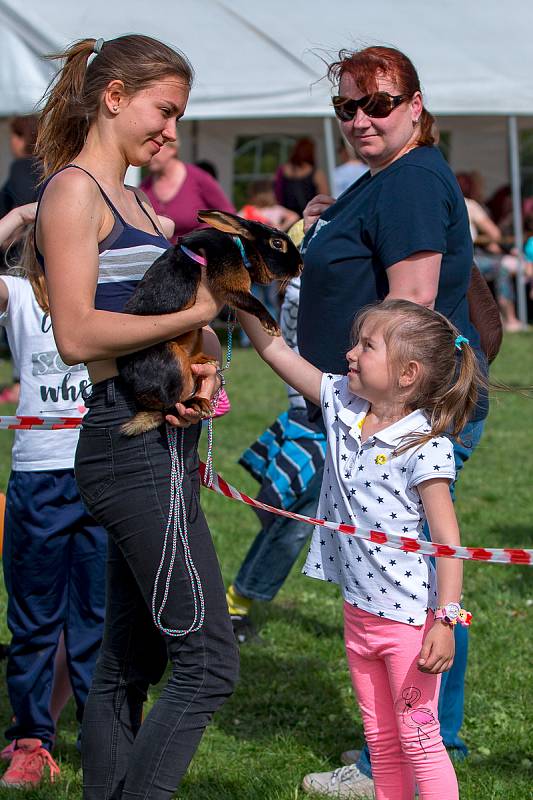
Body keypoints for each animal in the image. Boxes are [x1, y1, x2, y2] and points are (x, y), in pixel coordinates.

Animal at [117, 209, 302, 434]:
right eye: (276, 243)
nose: (301, 266)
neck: (241, 248)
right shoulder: (228, 281)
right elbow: (252, 302)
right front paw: (272, 327)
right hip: (171, 358)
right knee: (171, 406)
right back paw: (195, 403)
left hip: (197, 335)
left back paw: (206, 362)